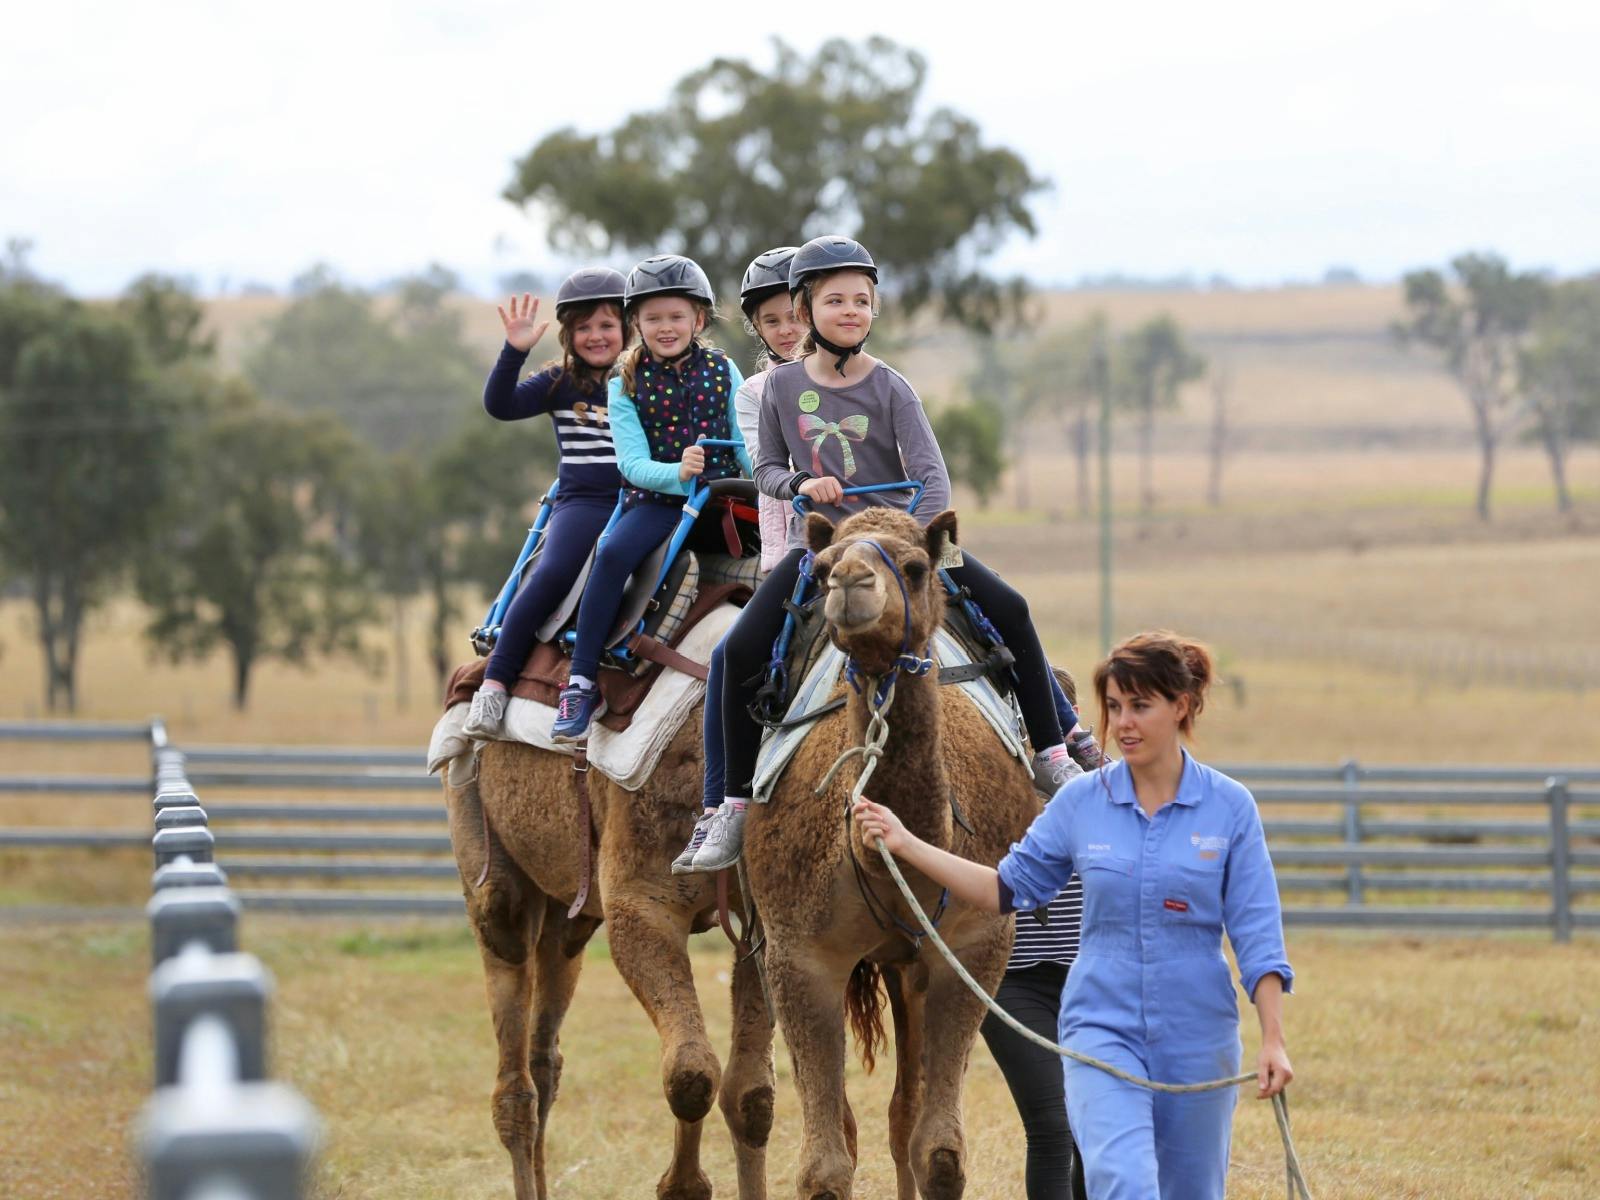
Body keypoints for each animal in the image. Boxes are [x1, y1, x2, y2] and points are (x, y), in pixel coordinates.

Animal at [442, 710, 777, 1200]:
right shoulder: (638, 903)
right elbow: (691, 1073)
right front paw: (681, 1186)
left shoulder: (761, 919)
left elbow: (751, 1095)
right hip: (487, 864)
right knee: (514, 1083)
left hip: (569, 914)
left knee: (544, 1058)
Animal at [742, 506, 1041, 1200]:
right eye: (823, 567)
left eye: (915, 567)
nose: (850, 579)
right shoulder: (798, 956)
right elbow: (824, 1166)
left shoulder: (973, 946)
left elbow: (941, 1152)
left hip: (910, 966)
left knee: (905, 1109)